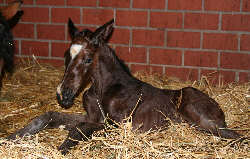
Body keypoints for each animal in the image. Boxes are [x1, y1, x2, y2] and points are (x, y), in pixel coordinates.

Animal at [8, 18, 243, 154]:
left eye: (87, 59)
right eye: (67, 55)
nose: (63, 94)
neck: (103, 89)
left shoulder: (118, 125)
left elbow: (79, 128)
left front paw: (64, 147)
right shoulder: (93, 117)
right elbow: (50, 117)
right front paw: (14, 136)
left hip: (199, 116)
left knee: (234, 135)